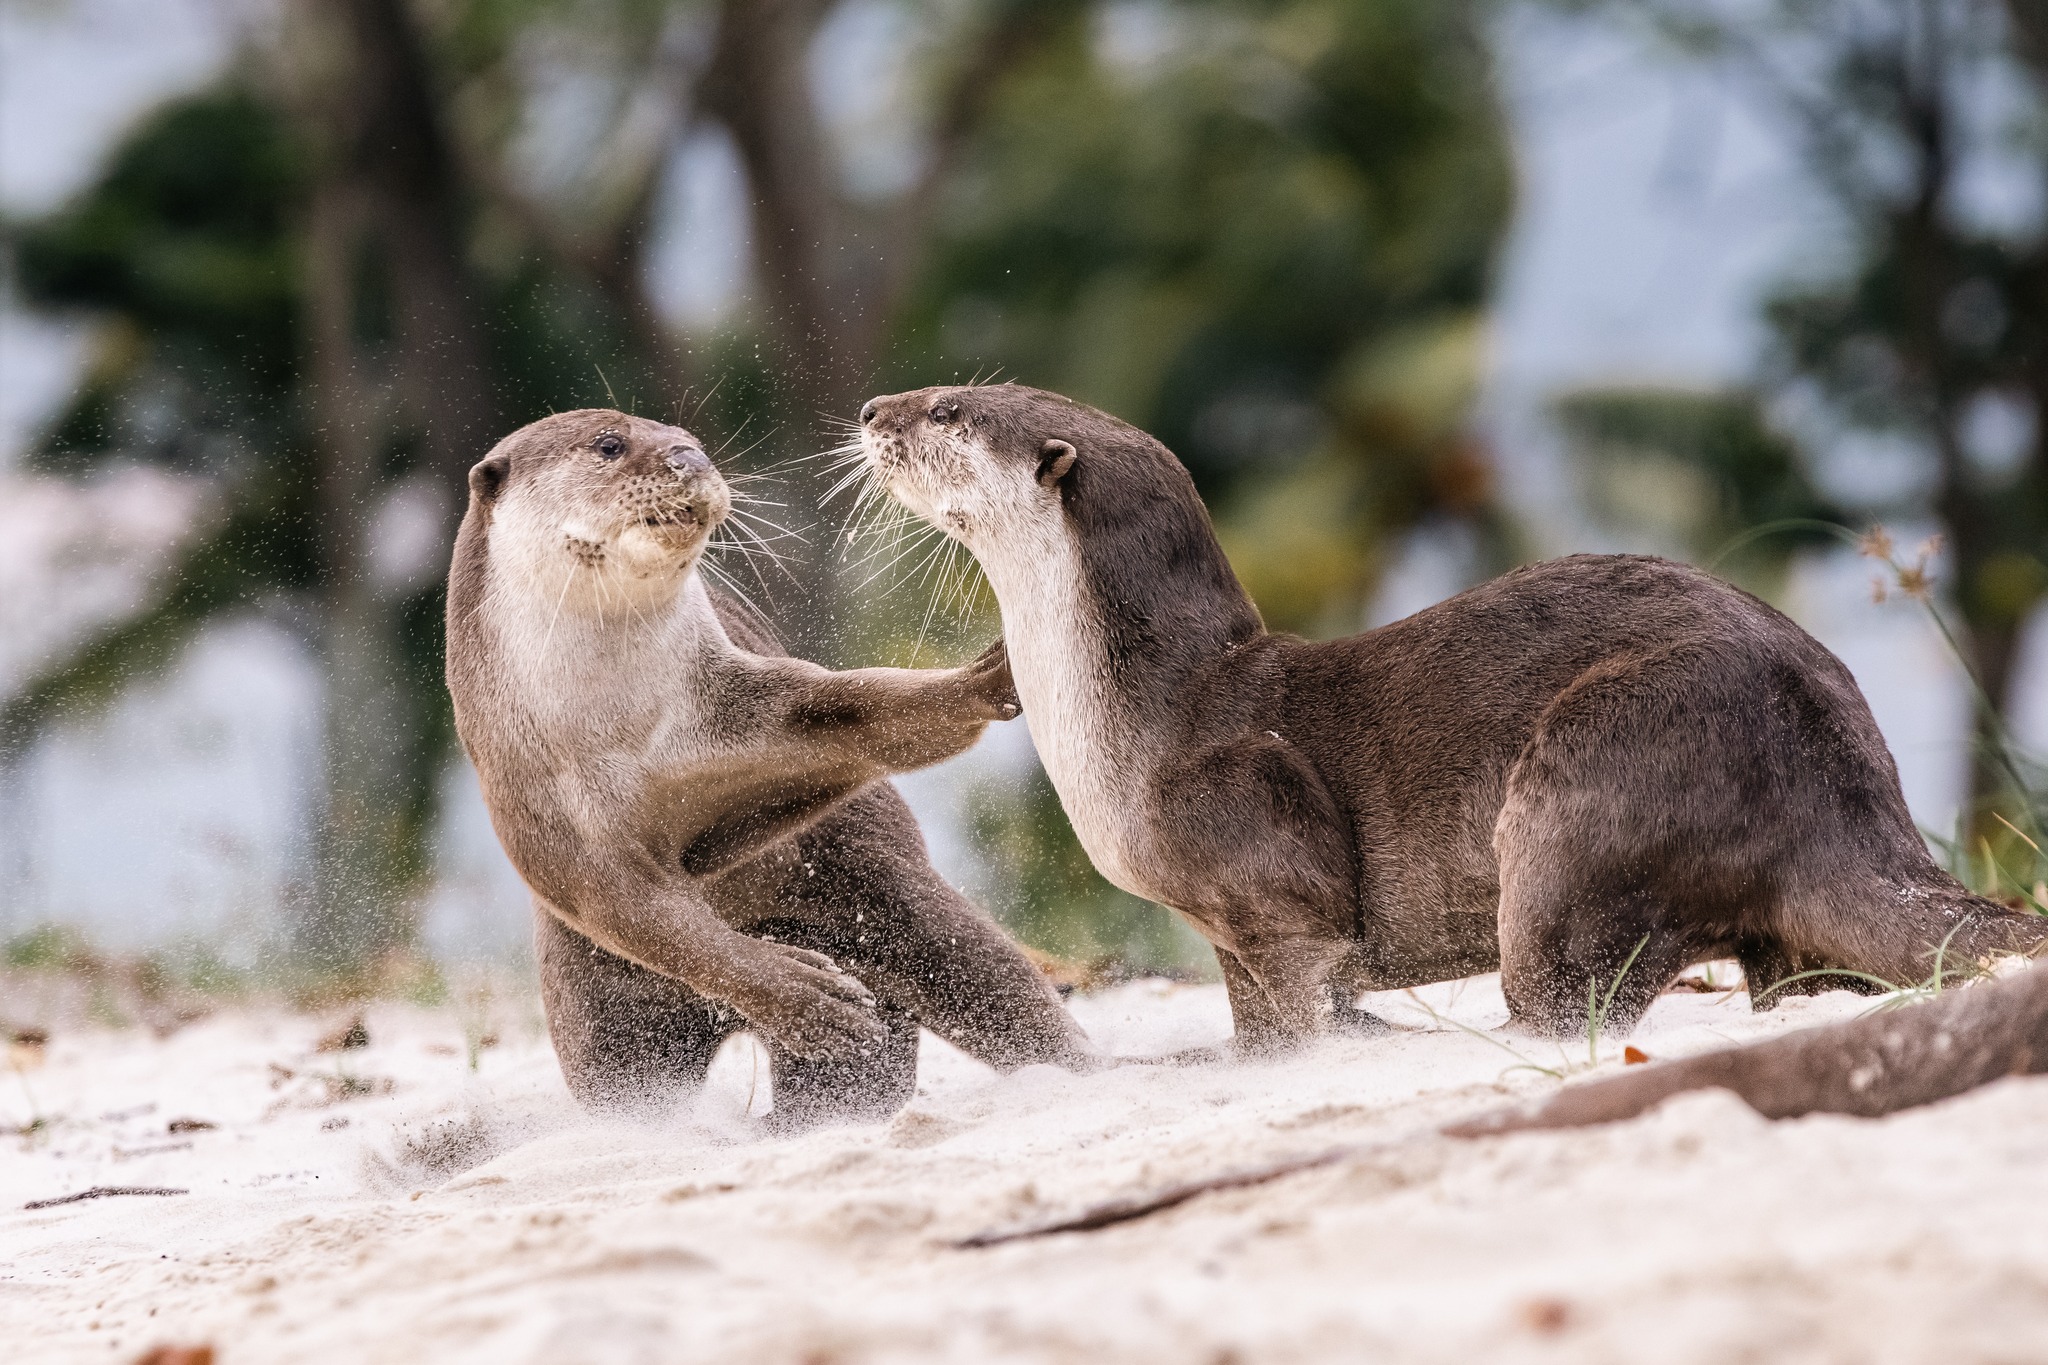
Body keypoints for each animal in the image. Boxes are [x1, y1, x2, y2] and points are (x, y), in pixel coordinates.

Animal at [446, 408, 1093, 1119]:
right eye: (610, 445)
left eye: (690, 439)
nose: (687, 457)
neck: (623, 727)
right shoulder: (545, 812)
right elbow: (640, 914)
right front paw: (809, 999)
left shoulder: (744, 707)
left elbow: (854, 715)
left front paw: (986, 678)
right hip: (593, 1009)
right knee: (629, 1080)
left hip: (887, 891)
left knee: (985, 978)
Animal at [853, 383, 2048, 1049]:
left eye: (950, 410)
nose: (870, 412)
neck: (1137, 723)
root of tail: (1836, 778)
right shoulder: (1229, 940)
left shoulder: (1269, 878)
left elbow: (1298, 993)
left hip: (1599, 771)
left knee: (1567, 992)